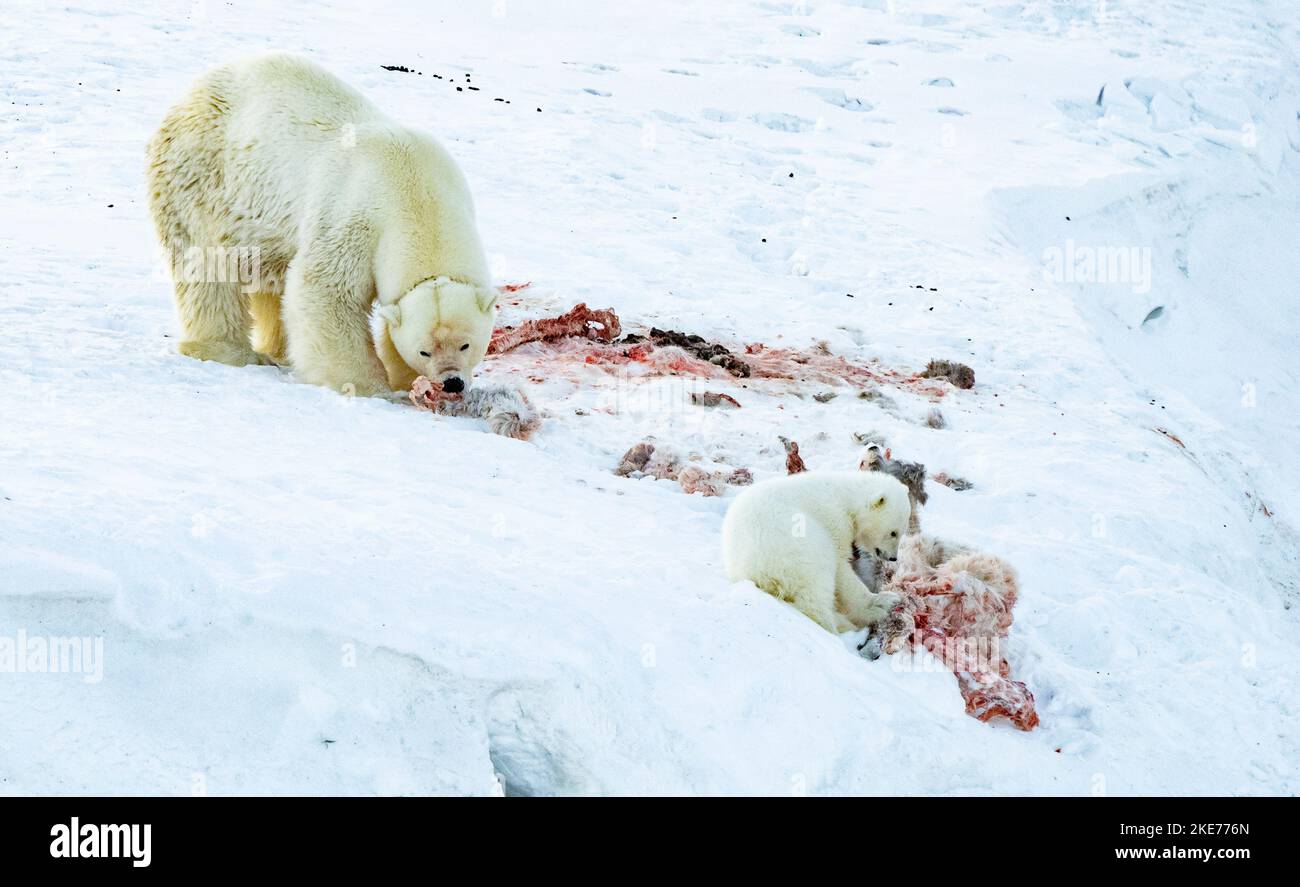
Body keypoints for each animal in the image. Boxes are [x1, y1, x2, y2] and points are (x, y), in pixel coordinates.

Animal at [144, 51, 493, 390]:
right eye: (424, 350)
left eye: (466, 345)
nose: (452, 383)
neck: (417, 191)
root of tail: (190, 93)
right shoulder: (355, 218)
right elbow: (326, 293)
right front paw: (368, 386)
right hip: (201, 179)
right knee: (207, 266)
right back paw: (229, 351)